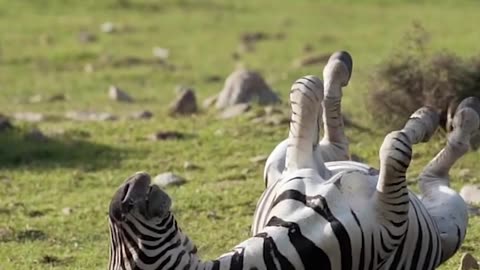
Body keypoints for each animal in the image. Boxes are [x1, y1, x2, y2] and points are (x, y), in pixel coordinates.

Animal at [106, 51, 476, 270]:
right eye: (123, 211)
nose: (127, 184)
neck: (285, 240)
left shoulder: (301, 168)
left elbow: (304, 88)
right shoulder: (390, 227)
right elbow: (395, 146)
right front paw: (414, 129)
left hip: (279, 162)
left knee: (333, 145)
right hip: (451, 218)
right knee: (430, 177)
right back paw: (460, 119)